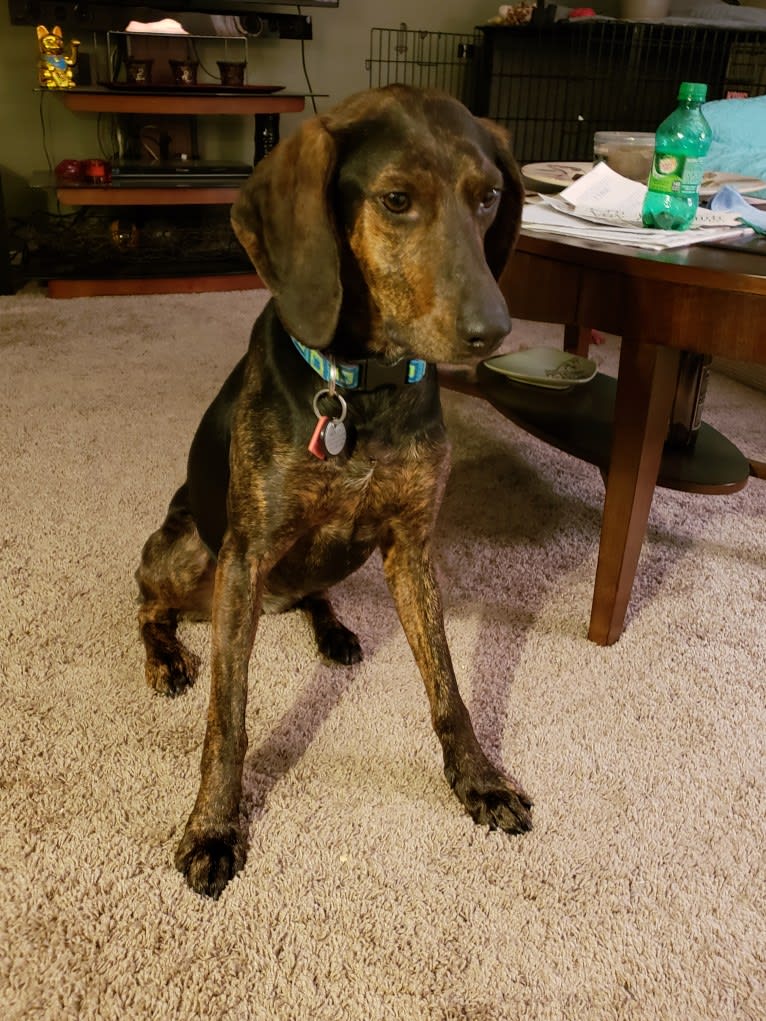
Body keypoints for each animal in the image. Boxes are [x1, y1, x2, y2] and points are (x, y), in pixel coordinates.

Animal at [136, 87, 535, 902]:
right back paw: (165, 658)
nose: (494, 330)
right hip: (190, 548)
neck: (363, 391)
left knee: (312, 592)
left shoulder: (411, 547)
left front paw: (478, 780)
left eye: (488, 197)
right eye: (396, 200)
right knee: (147, 605)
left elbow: (449, 689)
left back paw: (333, 628)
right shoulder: (246, 553)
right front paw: (213, 827)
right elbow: (228, 718)